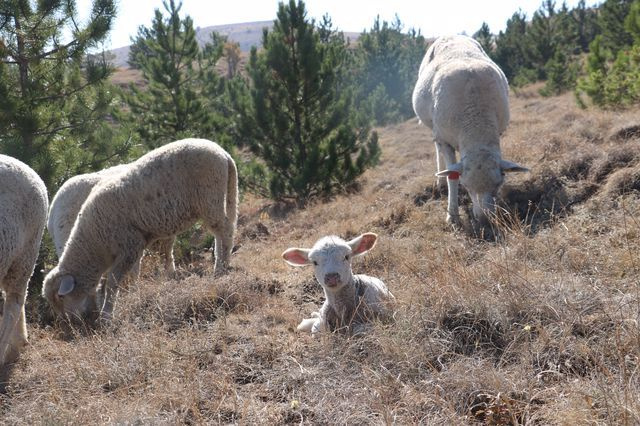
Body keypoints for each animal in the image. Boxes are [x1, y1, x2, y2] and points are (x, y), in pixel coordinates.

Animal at [412, 34, 528, 226]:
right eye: (466, 186)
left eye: (499, 184)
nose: (484, 219)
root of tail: (450, 34)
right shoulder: (445, 139)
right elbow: (452, 176)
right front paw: (452, 215)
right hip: (435, 127)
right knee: (437, 148)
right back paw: (440, 182)